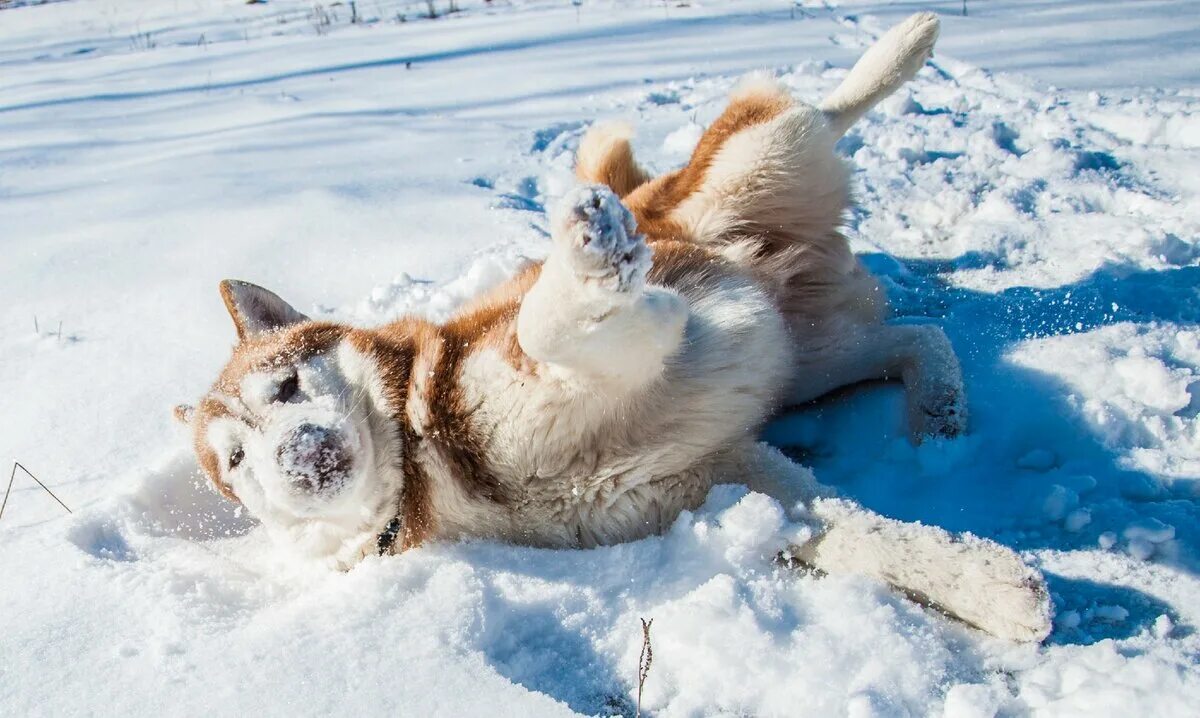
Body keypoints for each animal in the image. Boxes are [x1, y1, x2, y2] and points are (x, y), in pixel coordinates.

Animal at [175, 12, 1051, 643]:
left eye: (288, 384)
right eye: (238, 459)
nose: (301, 455)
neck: (421, 463)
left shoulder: (546, 356)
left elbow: (549, 325)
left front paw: (600, 270)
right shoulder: (727, 477)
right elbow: (860, 534)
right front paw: (994, 589)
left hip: (748, 171)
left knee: (805, 111)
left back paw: (902, 46)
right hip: (805, 356)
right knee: (917, 333)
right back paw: (939, 411)